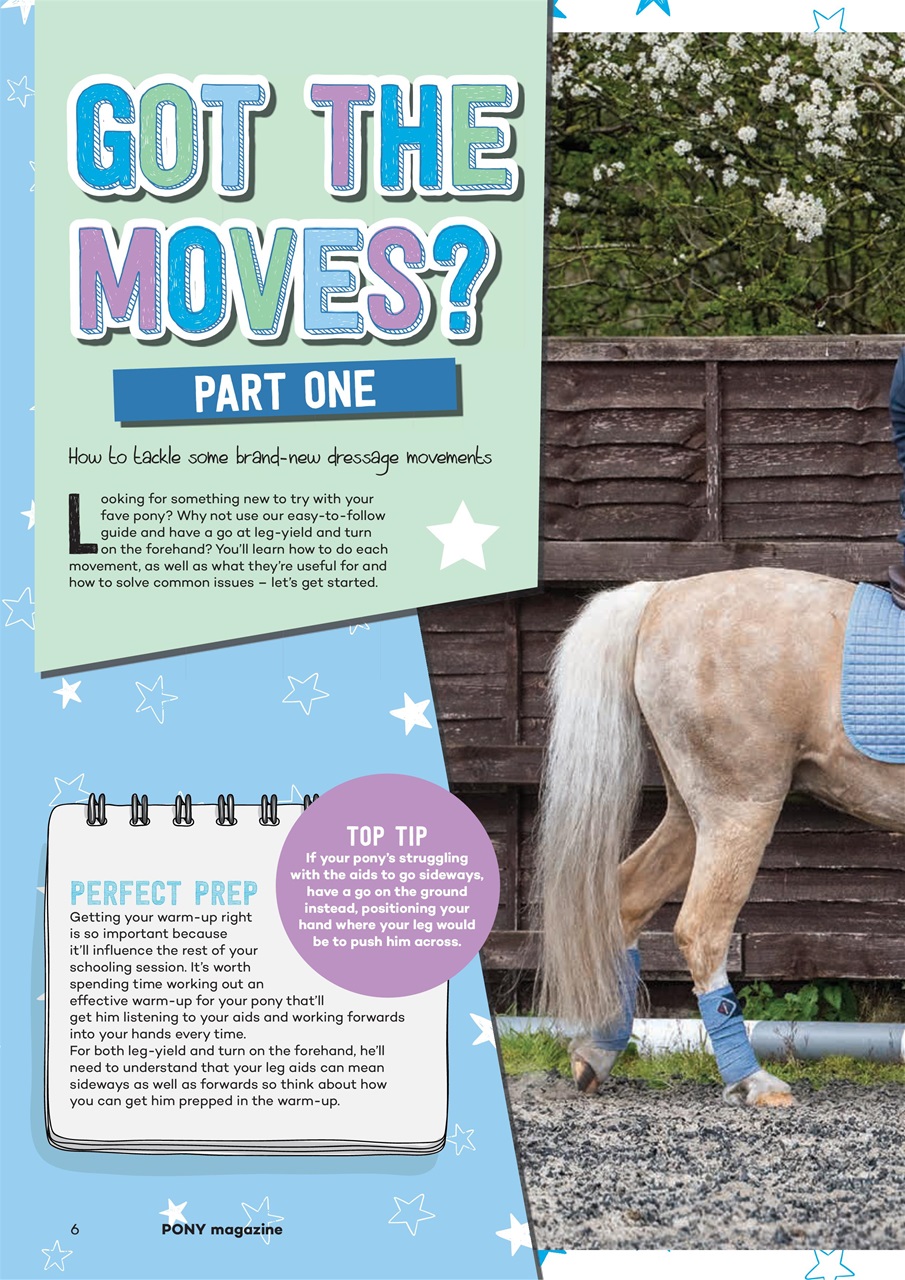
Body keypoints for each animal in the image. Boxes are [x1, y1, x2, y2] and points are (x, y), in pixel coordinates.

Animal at [534, 566, 905, 1107]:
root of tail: (660, 594)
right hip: (738, 810)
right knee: (702, 930)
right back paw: (752, 1080)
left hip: (691, 818)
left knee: (626, 900)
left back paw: (597, 1052)